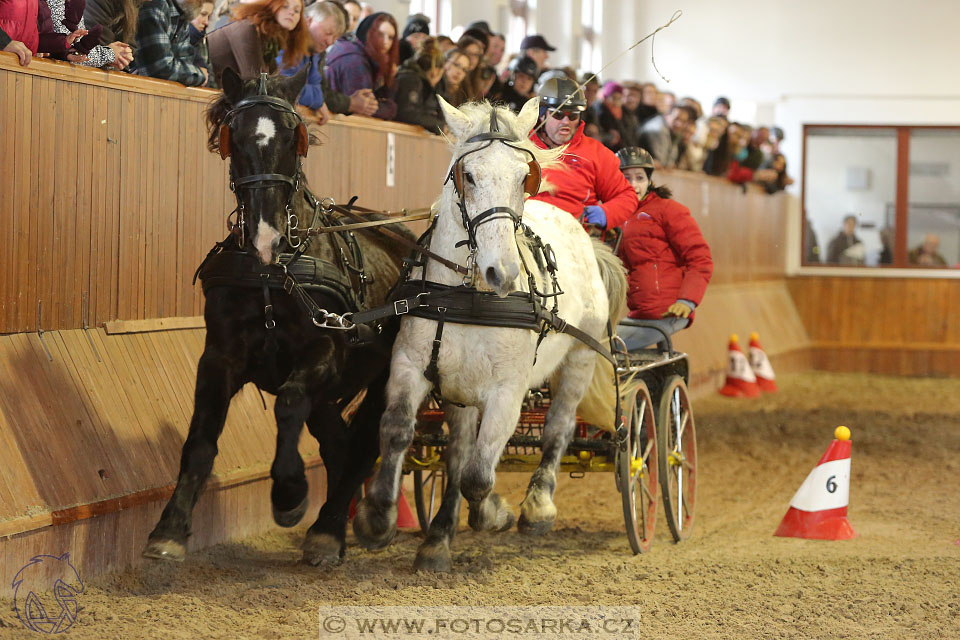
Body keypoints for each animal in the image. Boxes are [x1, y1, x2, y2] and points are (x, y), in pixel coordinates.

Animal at [141, 67, 410, 568]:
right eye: (236, 136)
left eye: (292, 137)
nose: (266, 238)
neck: (273, 272)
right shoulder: (219, 357)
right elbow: (200, 439)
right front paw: (169, 529)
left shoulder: (324, 349)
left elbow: (288, 404)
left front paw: (288, 494)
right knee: (339, 443)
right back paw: (333, 527)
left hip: (389, 375)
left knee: (364, 442)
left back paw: (333, 528)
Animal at [356, 99, 628, 568]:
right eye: (468, 175)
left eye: (524, 177)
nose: (501, 272)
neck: (469, 297)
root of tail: (583, 234)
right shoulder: (411, 366)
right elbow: (397, 431)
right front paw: (377, 519)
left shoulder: (507, 391)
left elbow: (480, 476)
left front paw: (495, 513)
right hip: (459, 389)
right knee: (458, 451)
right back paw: (437, 540)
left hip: (579, 358)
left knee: (557, 429)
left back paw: (538, 507)